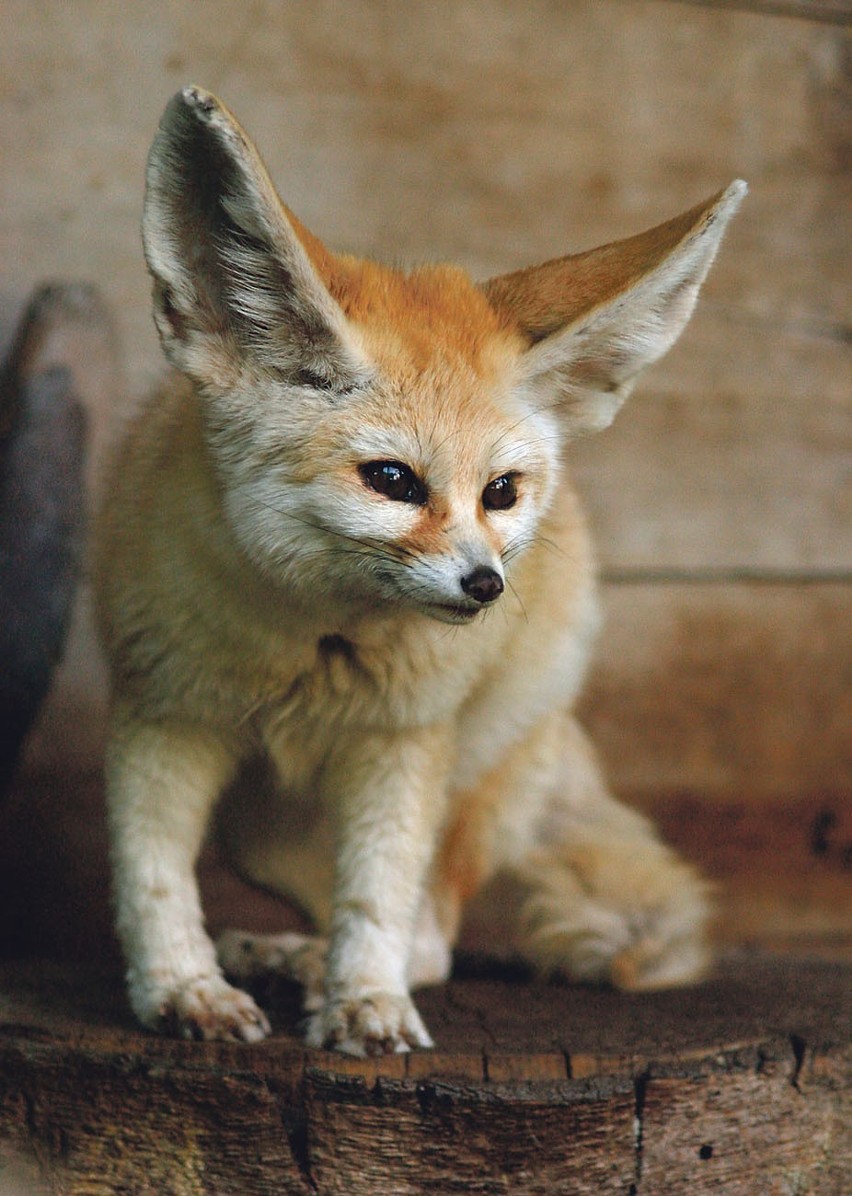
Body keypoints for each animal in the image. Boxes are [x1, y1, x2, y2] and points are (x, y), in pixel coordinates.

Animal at [95, 88, 746, 1052]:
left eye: (501, 492)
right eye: (393, 481)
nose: (486, 586)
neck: (315, 648)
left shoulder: (403, 741)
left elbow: (380, 898)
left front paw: (366, 1000)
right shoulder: (164, 717)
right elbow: (153, 880)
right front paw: (184, 989)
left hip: (453, 774)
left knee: (432, 931)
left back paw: (323, 968)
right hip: (260, 830)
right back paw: (288, 955)